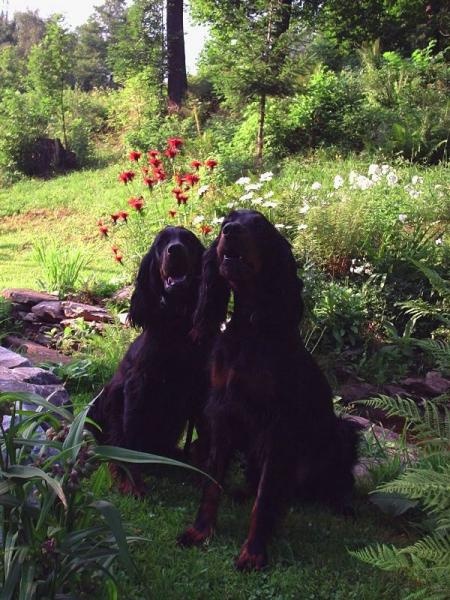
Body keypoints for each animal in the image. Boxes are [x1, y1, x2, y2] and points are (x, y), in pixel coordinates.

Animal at [89, 227, 207, 494]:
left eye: (189, 240)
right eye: (161, 242)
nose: (175, 249)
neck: (177, 326)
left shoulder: (200, 388)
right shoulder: (138, 386)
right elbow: (130, 439)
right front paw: (133, 482)